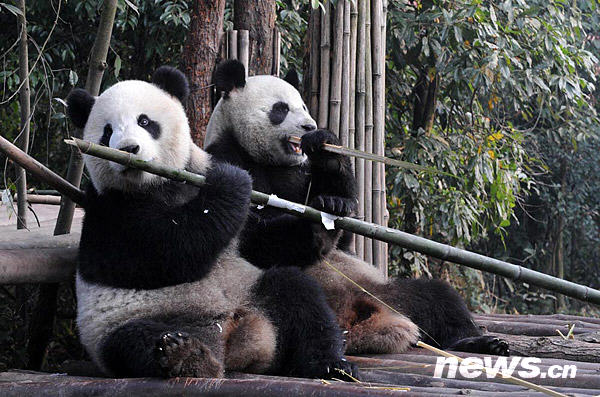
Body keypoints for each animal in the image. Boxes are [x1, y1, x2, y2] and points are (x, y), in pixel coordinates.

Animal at [66, 65, 358, 378]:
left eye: (144, 121)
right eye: (107, 132)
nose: (128, 149)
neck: (158, 182)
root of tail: (230, 338)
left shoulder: (208, 174)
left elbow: (261, 244)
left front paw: (328, 202)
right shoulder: (107, 209)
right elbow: (160, 252)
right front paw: (231, 182)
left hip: (253, 291)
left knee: (297, 294)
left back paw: (331, 365)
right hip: (117, 329)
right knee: (133, 341)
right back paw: (185, 356)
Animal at [206, 60, 510, 358]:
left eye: (303, 106)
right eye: (280, 109)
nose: (308, 127)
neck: (270, 161)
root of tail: (365, 316)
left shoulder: (303, 173)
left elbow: (346, 236)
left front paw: (329, 170)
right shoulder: (226, 160)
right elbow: (252, 237)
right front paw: (316, 224)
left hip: (385, 291)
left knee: (436, 296)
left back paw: (478, 341)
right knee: (291, 296)